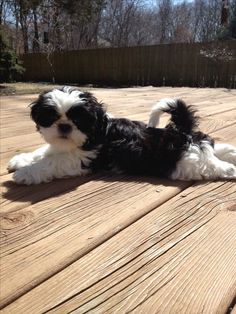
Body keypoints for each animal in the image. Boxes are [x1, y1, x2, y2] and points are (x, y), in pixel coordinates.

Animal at [7, 86, 236, 184]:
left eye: (79, 120)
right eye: (51, 116)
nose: (64, 126)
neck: (97, 131)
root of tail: (183, 133)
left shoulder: (81, 158)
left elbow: (51, 162)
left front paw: (26, 173)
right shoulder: (61, 145)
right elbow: (44, 152)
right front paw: (22, 160)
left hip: (189, 162)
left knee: (213, 165)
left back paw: (230, 168)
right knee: (213, 147)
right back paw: (230, 153)